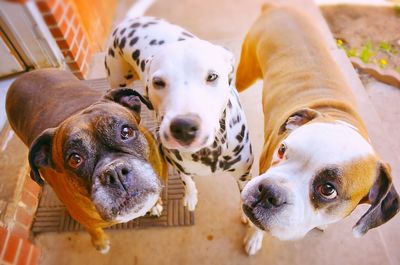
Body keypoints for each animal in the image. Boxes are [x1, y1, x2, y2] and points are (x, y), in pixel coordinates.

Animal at [7, 69, 167, 253]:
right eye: (75, 159)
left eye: (126, 132)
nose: (115, 172)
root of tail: (22, 77)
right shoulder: (85, 220)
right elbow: (93, 228)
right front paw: (100, 242)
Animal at [104, 8, 253, 211]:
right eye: (158, 82)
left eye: (212, 76)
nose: (184, 127)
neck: (207, 152)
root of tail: (130, 21)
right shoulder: (177, 164)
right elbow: (187, 180)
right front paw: (190, 196)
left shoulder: (244, 175)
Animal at [236, 4, 398, 255]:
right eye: (282, 150)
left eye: (328, 190)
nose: (269, 191)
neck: (339, 117)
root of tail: (279, 6)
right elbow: (256, 226)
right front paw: (254, 238)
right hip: (246, 73)